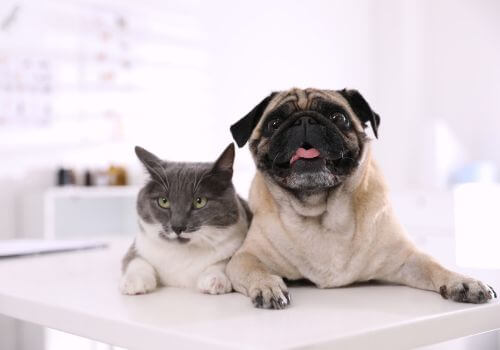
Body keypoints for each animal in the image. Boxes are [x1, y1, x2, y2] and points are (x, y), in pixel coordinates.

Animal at [119, 144, 252, 296]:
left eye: (199, 201)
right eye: (163, 201)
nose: (177, 227)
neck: (182, 254)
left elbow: (226, 262)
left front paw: (215, 279)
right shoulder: (140, 244)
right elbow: (134, 259)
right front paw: (134, 280)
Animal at [227, 87, 496, 308]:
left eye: (339, 118)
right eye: (274, 123)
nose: (305, 120)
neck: (319, 211)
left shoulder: (406, 259)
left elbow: (434, 264)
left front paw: (463, 281)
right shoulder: (244, 258)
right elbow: (256, 270)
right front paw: (268, 285)